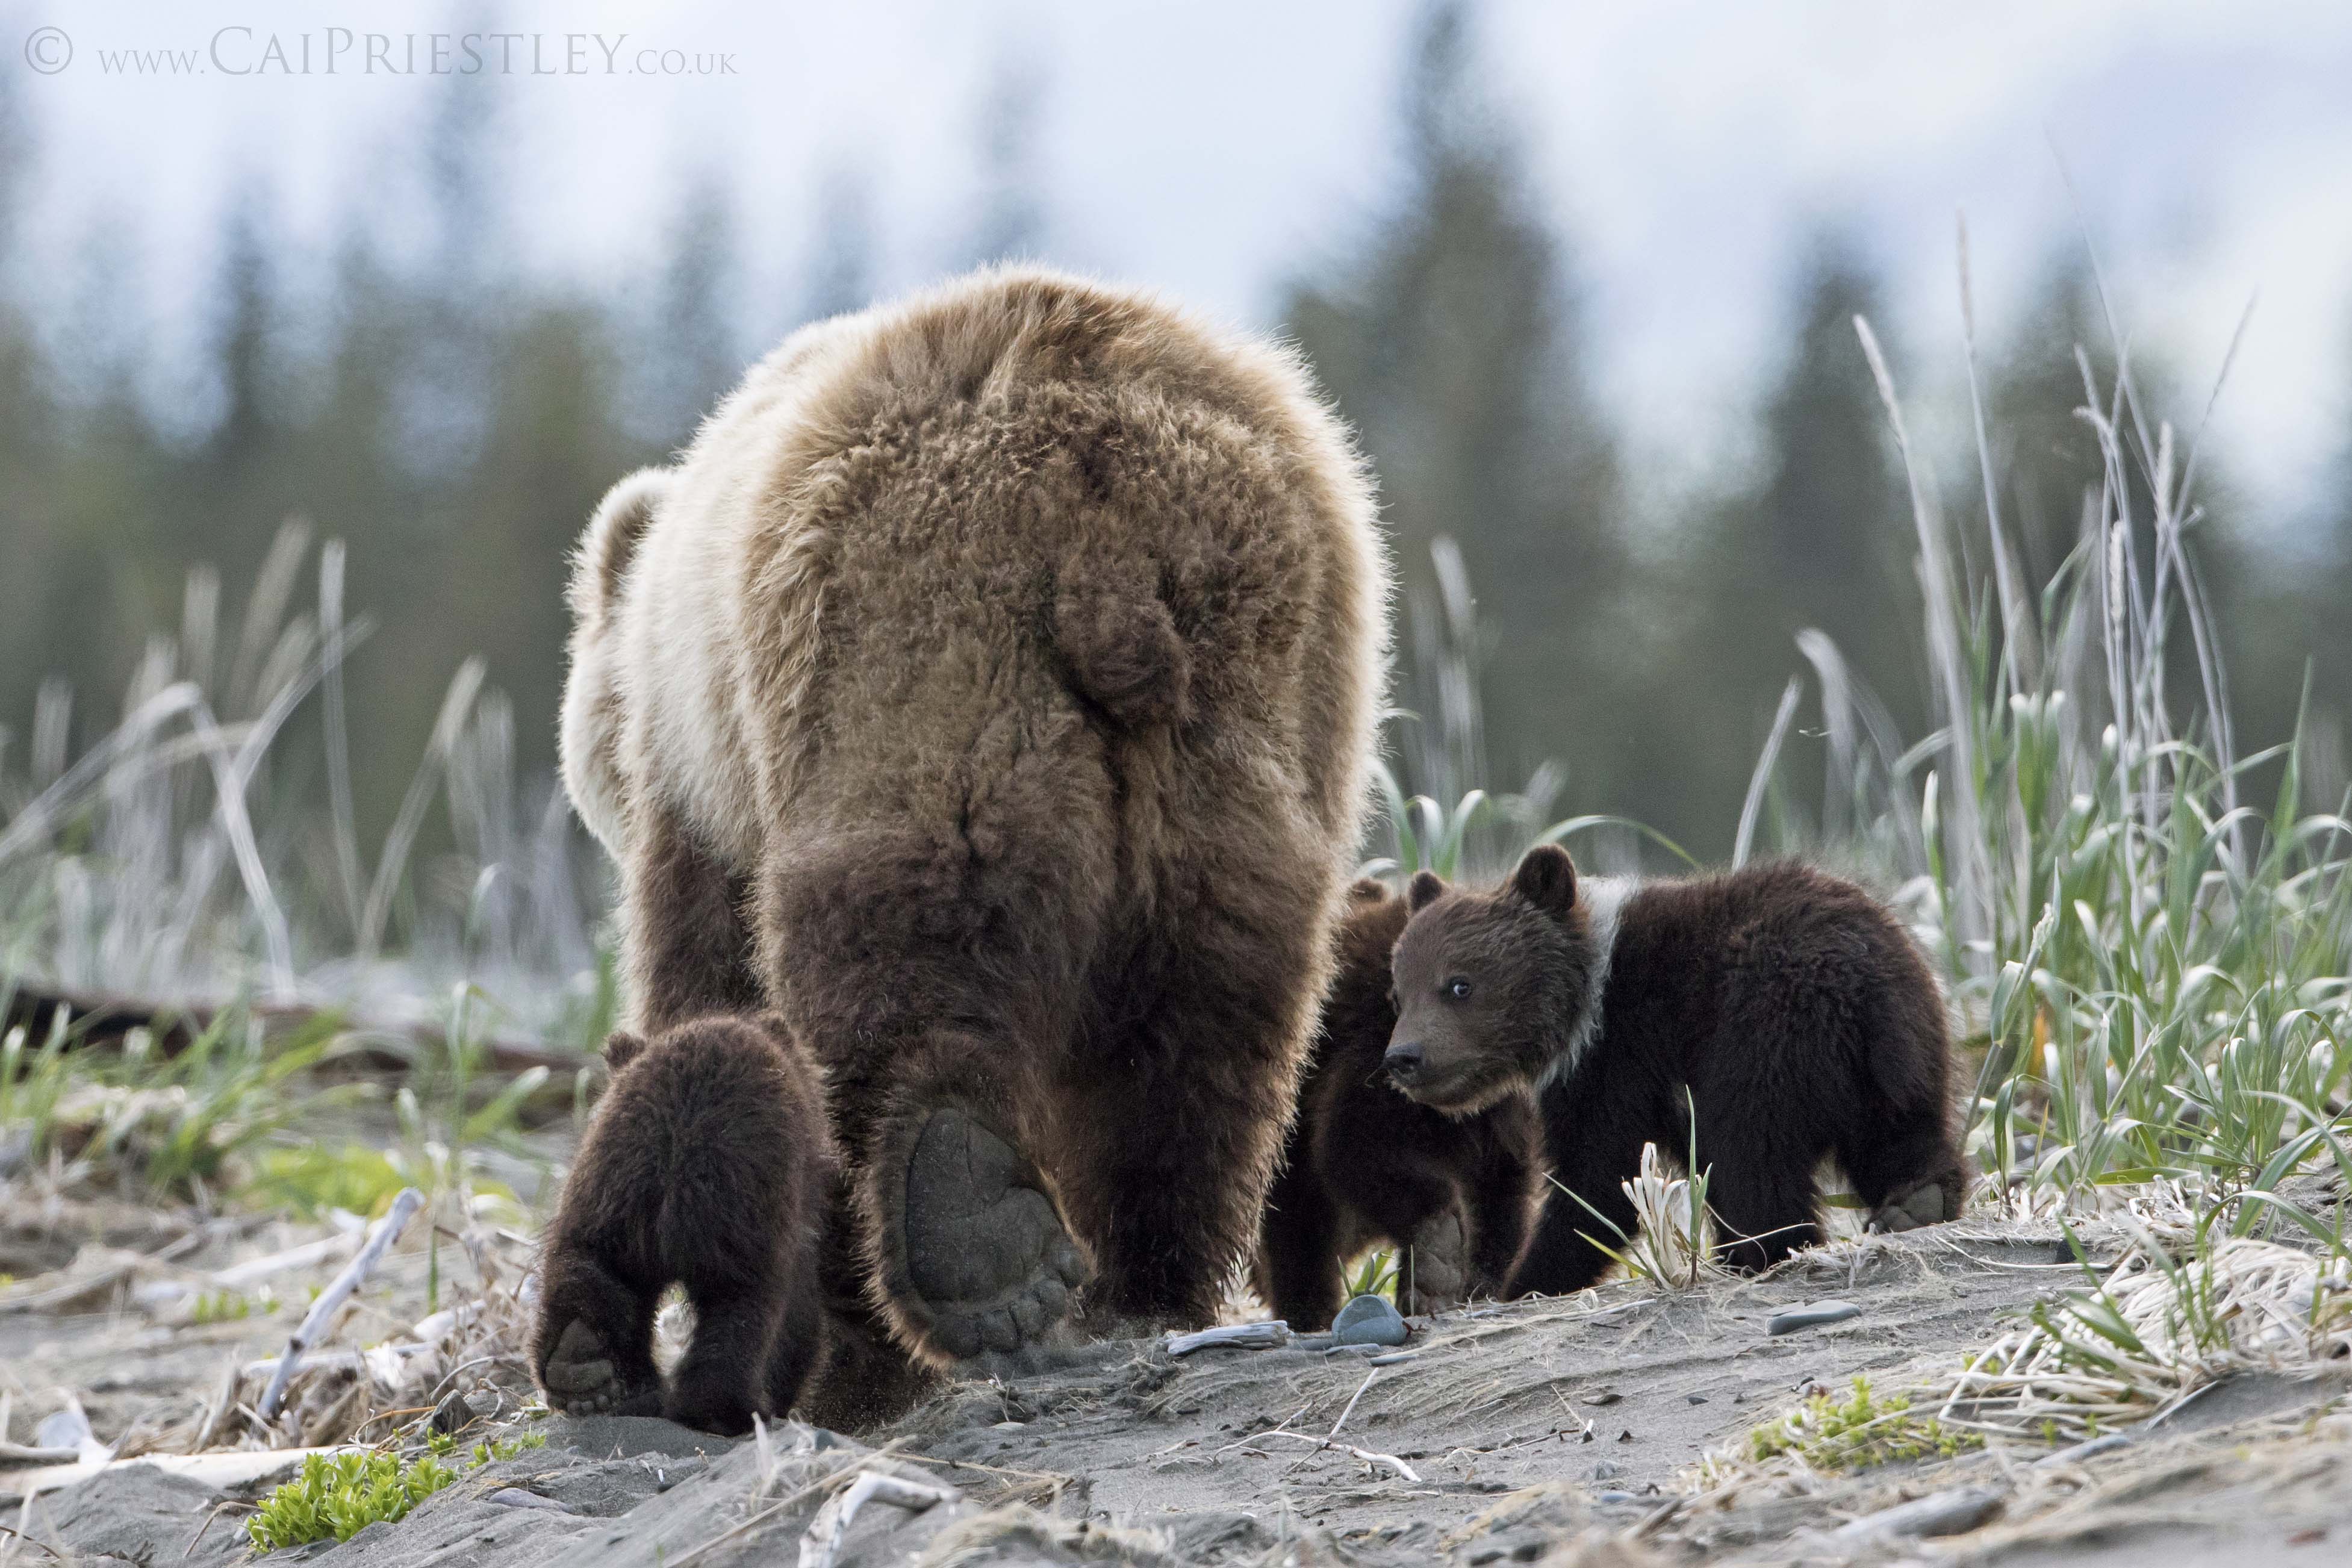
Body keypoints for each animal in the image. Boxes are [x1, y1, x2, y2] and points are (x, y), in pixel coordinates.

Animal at [557, 267, 1383, 1410]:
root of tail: (1106, 528)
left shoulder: (702, 782)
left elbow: (705, 976)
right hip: (1258, 714)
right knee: (1209, 1019)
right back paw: (1130, 1280)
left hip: (911, 662)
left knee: (902, 945)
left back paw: (944, 1244)